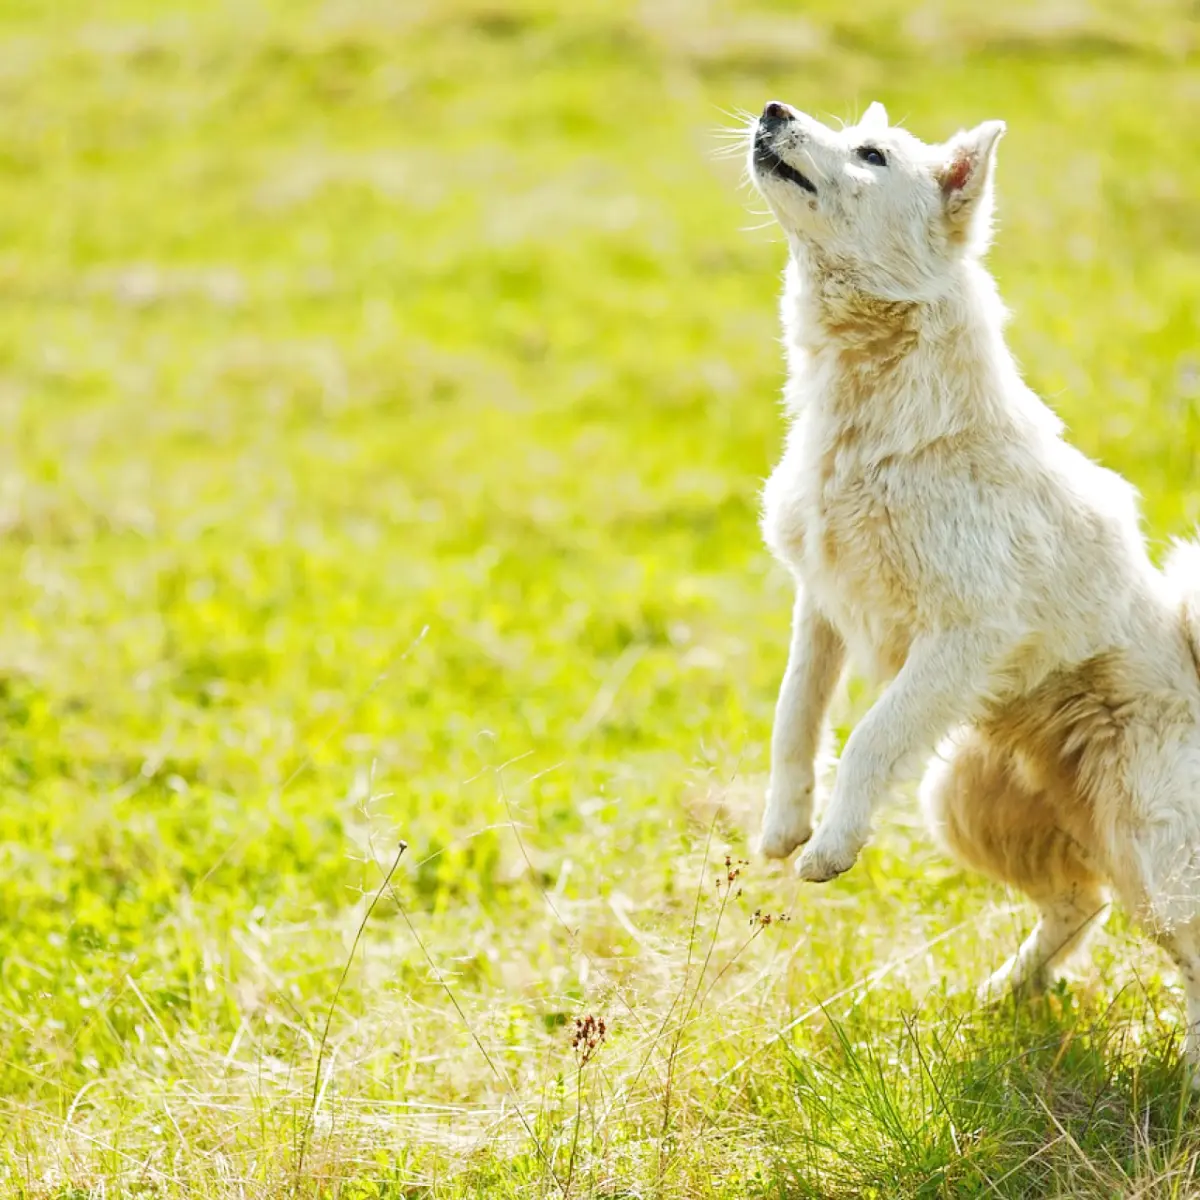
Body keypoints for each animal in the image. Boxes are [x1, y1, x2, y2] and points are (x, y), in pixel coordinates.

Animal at [753, 98, 1200, 1056]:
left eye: (871, 154)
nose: (772, 110)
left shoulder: (966, 630)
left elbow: (869, 735)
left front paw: (830, 846)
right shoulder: (822, 606)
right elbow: (794, 720)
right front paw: (783, 828)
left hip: (1156, 850)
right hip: (963, 799)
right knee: (1082, 904)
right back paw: (1005, 994)